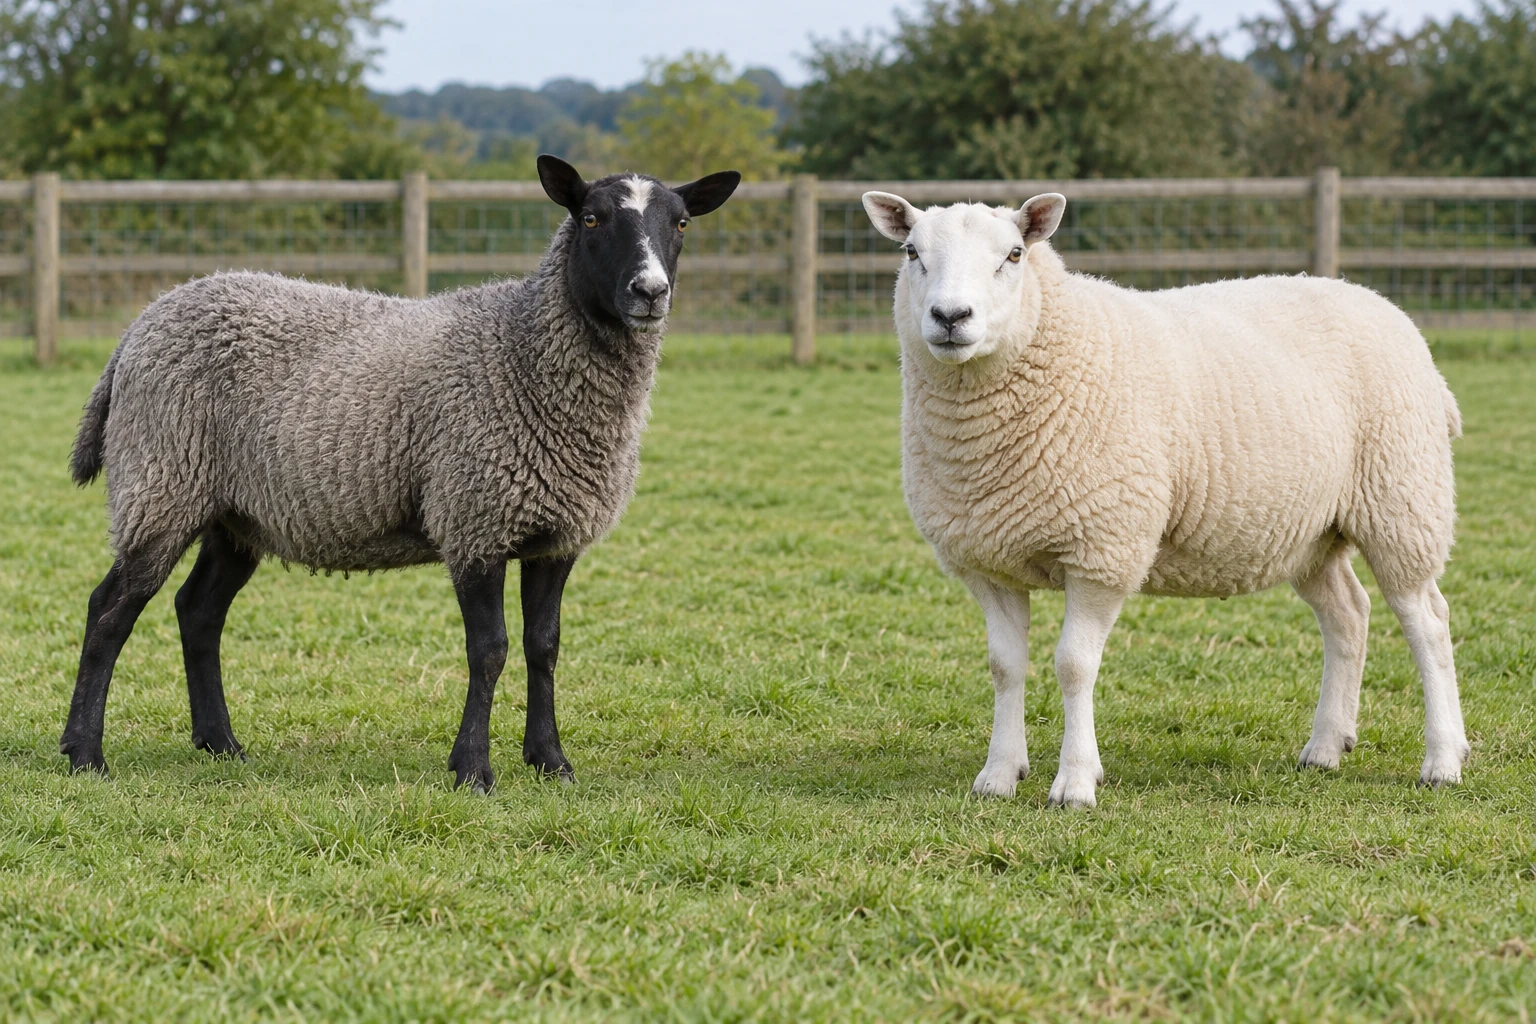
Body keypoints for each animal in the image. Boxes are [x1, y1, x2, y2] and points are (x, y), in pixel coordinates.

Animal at [61, 156, 741, 790]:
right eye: (593, 218)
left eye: (681, 223)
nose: (650, 291)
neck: (523, 349)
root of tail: (139, 328)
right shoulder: (474, 519)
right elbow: (489, 651)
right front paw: (473, 770)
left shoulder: (557, 535)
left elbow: (543, 649)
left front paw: (551, 762)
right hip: (162, 480)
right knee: (110, 610)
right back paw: (84, 753)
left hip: (234, 513)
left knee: (198, 612)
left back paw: (221, 744)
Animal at [862, 189, 1467, 808]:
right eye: (912, 252)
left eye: (1013, 254)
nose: (950, 318)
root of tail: (1376, 300)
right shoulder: (988, 561)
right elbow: (1005, 667)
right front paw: (999, 775)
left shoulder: (1105, 549)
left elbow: (1074, 665)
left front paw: (1075, 782)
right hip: (1310, 532)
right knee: (1348, 614)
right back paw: (1325, 747)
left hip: (1402, 499)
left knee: (1428, 621)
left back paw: (1443, 760)